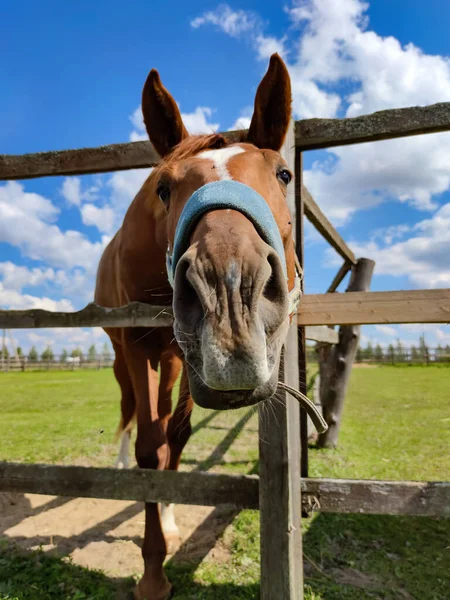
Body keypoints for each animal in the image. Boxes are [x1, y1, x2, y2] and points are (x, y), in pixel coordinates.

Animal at [94, 52, 298, 600]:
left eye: (284, 174)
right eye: (164, 187)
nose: (230, 300)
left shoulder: (188, 361)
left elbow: (177, 438)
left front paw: (166, 525)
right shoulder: (138, 346)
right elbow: (149, 448)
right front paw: (152, 575)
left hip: (172, 361)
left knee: (169, 429)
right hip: (128, 359)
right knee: (131, 417)